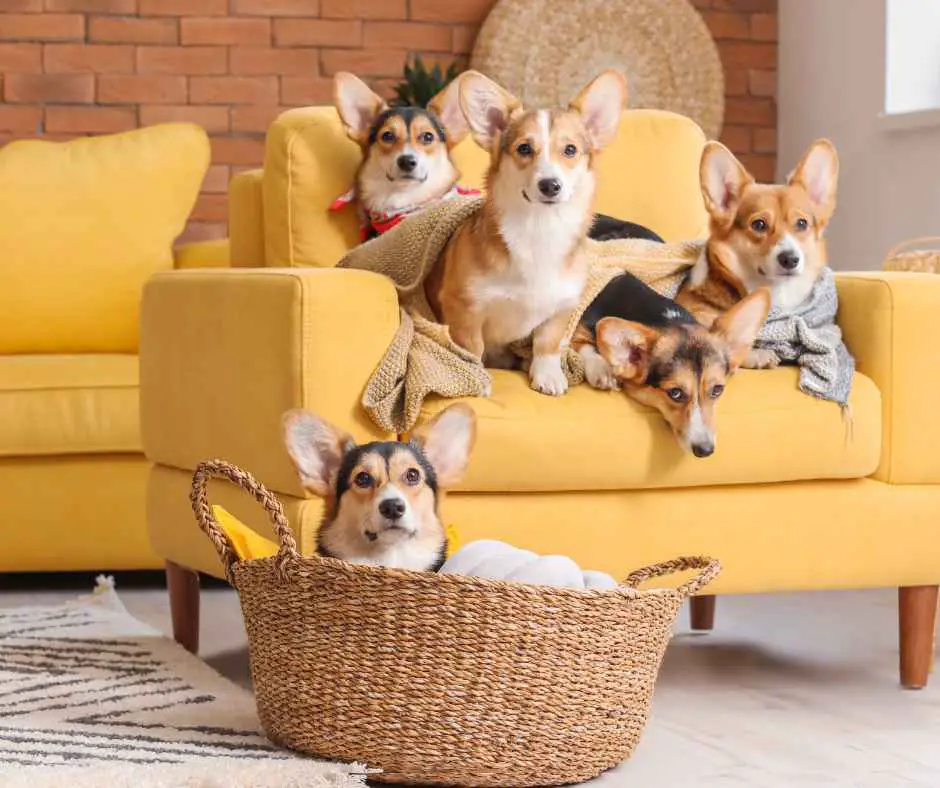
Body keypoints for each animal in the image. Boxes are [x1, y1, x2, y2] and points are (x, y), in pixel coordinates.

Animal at [424, 70, 628, 394]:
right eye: (524, 148)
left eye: (570, 150)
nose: (550, 185)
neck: (539, 228)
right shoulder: (465, 308)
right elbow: (471, 349)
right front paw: (476, 379)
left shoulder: (563, 308)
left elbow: (548, 344)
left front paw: (548, 375)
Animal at [572, 270, 772, 456]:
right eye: (675, 393)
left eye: (717, 390)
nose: (705, 451)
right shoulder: (579, 325)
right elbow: (582, 345)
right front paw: (601, 369)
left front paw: (756, 355)